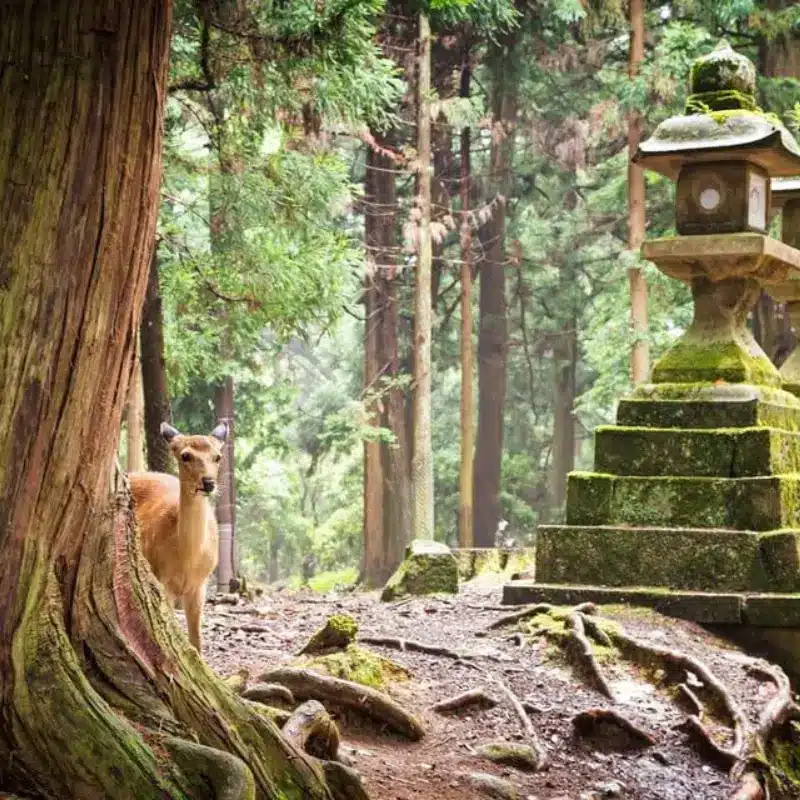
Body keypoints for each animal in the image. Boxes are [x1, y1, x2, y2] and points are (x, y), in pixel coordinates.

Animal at [129, 421, 228, 653]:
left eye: (218, 456)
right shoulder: (163, 580)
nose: (208, 482)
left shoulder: (200, 584)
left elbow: (196, 640)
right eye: (185, 455)